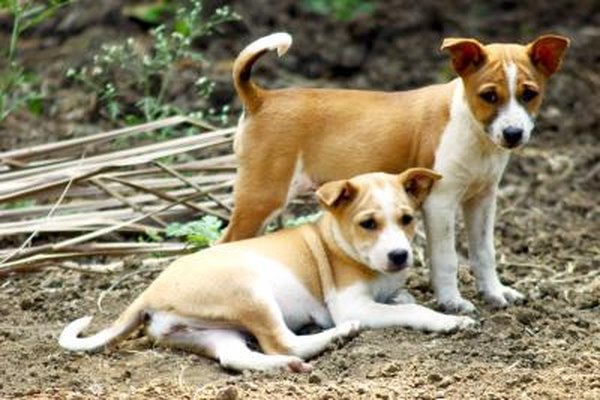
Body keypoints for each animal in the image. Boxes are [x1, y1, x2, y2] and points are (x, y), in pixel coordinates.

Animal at [61, 168, 474, 372]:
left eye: (407, 219)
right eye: (368, 224)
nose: (400, 256)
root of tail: (150, 292)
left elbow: (402, 297)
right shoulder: (352, 304)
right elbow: (413, 308)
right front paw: (449, 320)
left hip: (210, 333)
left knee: (240, 357)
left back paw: (284, 367)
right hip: (251, 291)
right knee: (282, 341)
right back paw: (337, 336)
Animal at [218, 31, 568, 312]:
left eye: (529, 94)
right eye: (489, 96)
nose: (513, 134)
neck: (472, 129)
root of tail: (261, 98)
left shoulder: (482, 199)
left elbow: (485, 252)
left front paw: (495, 293)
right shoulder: (440, 202)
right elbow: (446, 258)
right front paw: (451, 302)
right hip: (262, 196)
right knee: (226, 243)